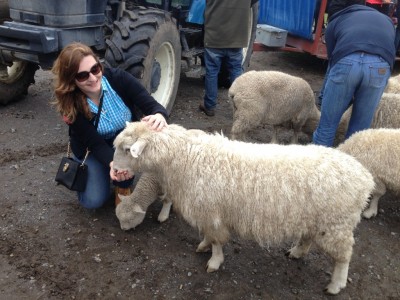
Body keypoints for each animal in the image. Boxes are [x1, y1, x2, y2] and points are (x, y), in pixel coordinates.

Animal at [112, 120, 376, 294]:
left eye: (127, 150)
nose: (113, 169)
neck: (187, 157)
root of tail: (365, 177)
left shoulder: (212, 213)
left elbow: (218, 242)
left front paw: (214, 262)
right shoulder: (207, 212)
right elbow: (208, 236)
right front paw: (203, 245)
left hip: (337, 225)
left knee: (344, 257)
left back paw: (336, 284)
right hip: (317, 221)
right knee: (308, 238)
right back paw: (297, 252)